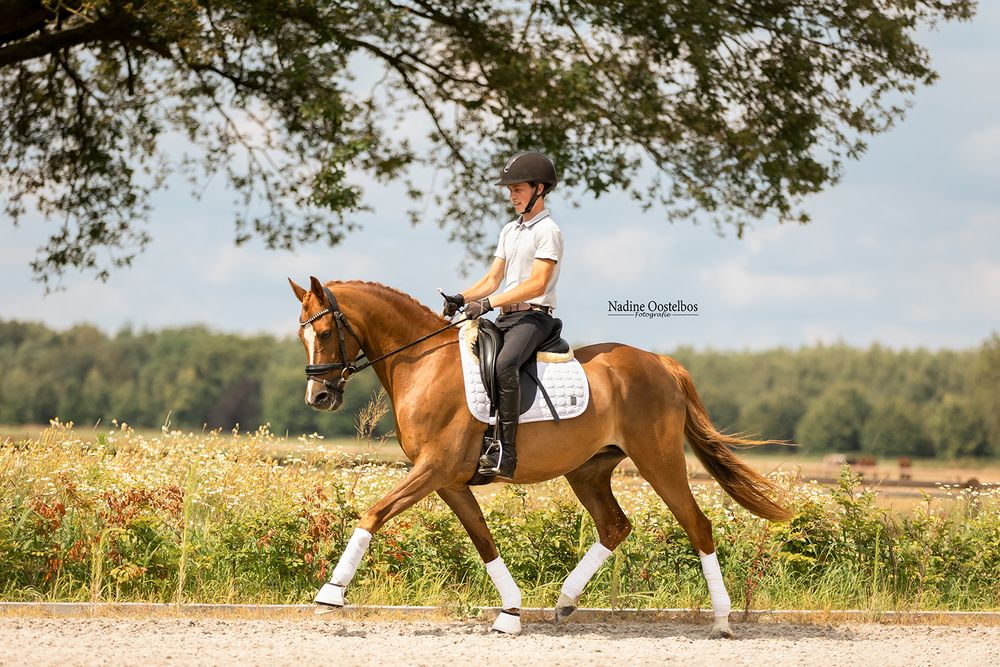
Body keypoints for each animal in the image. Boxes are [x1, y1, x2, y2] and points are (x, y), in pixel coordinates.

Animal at [289, 276, 791, 637]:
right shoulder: (448, 480)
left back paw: (722, 621)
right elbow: (483, 540)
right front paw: (511, 612)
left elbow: (374, 513)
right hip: (588, 471)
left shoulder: (434, 468)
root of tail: (661, 363)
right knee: (615, 526)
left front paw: (331, 593)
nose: (319, 397)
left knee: (697, 524)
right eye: (302, 337)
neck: (423, 363)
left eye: (326, 331)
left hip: (659, 462)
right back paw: (565, 602)